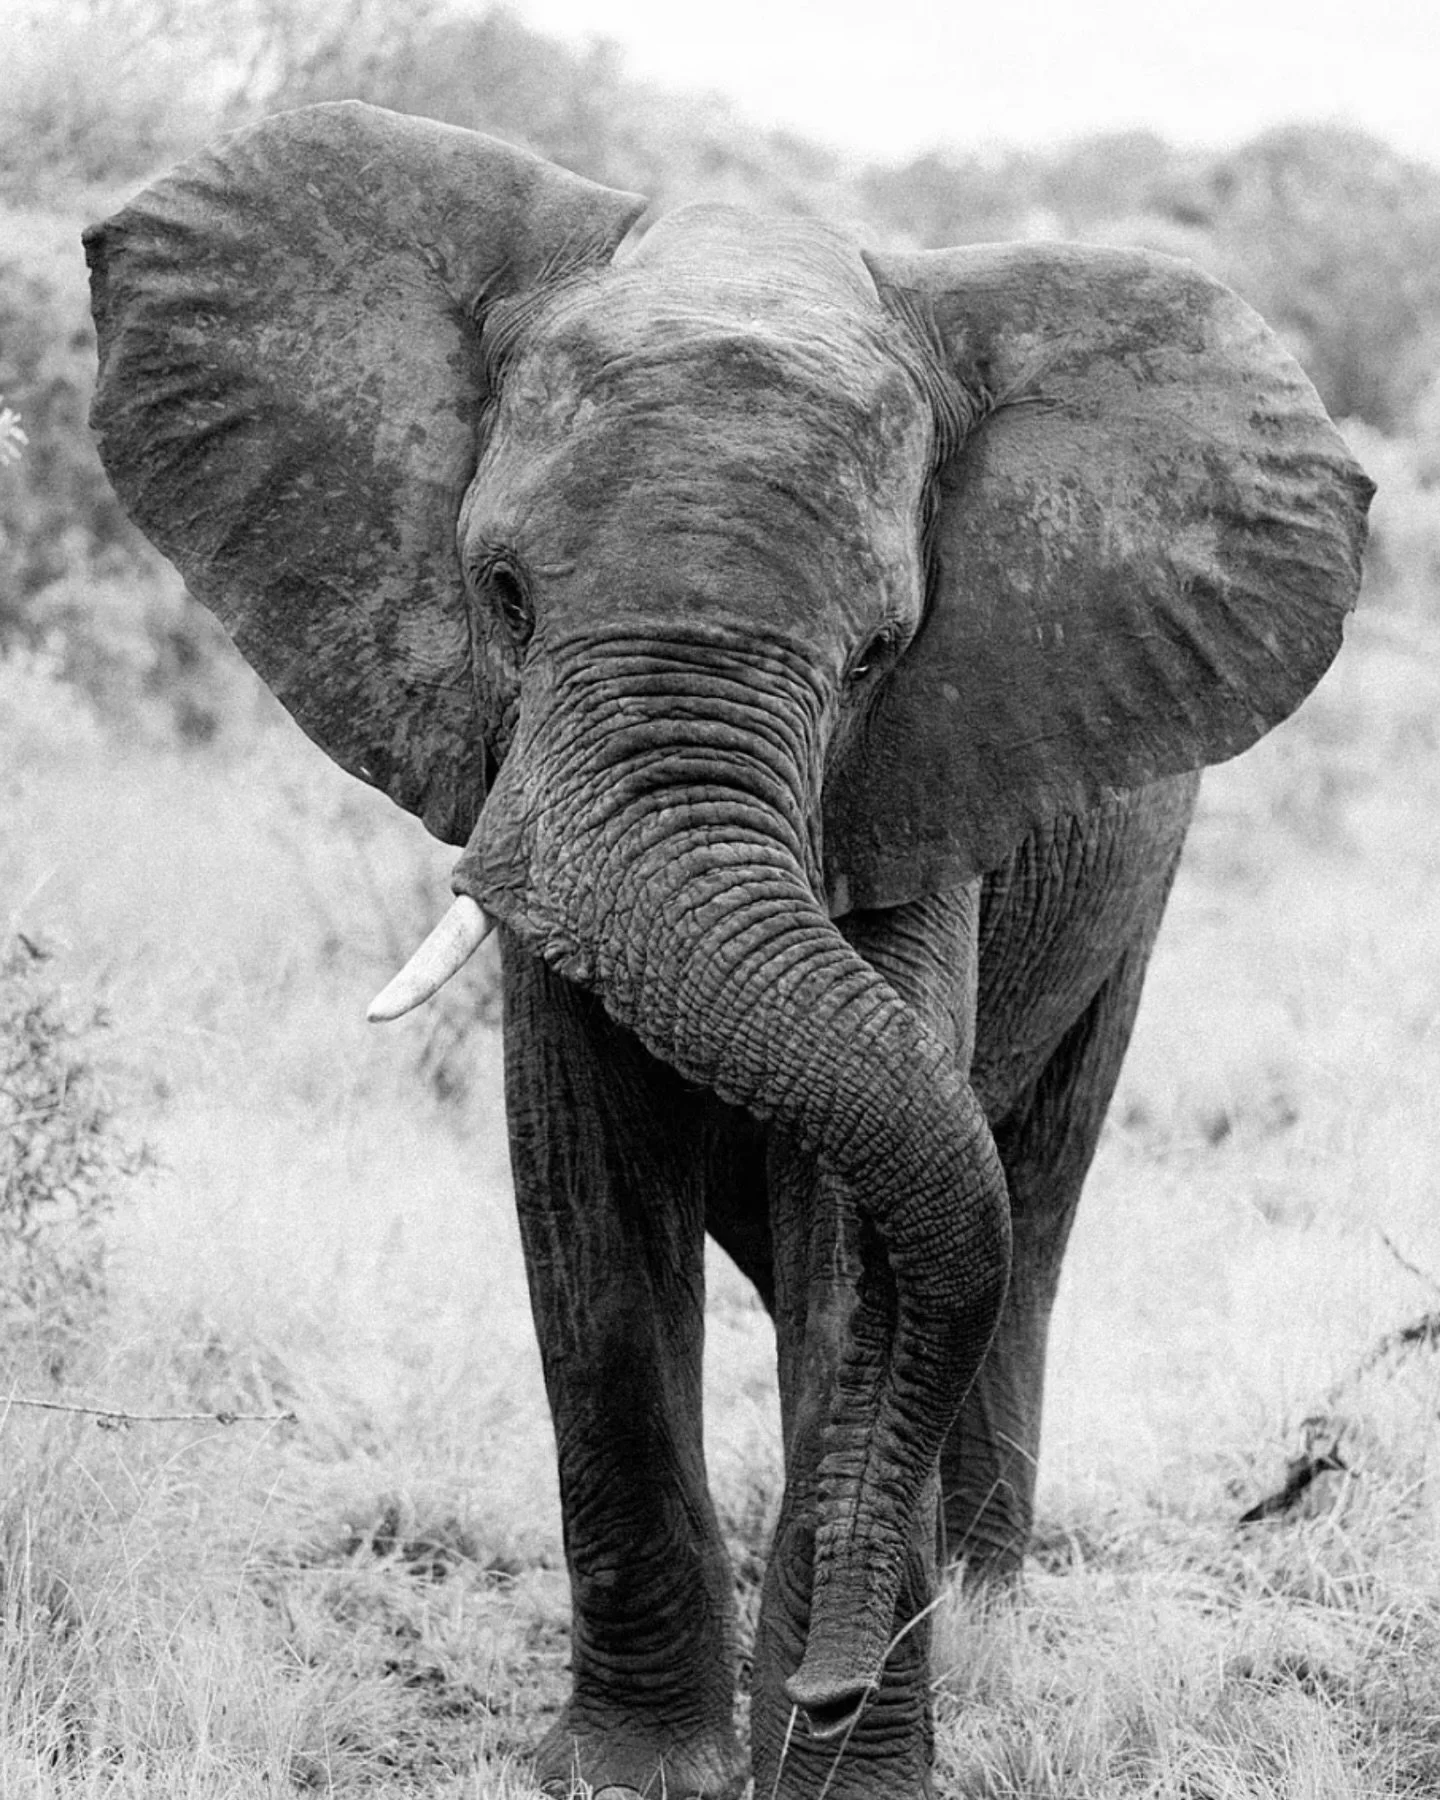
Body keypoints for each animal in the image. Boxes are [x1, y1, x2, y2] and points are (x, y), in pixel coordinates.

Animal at [84, 102, 1371, 1800]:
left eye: (878, 652)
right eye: (501, 593)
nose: (830, 1686)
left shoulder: (923, 776)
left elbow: (861, 1243)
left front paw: (840, 1773)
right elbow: (587, 1204)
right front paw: (638, 1772)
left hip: (1137, 876)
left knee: (1028, 1202)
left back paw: (980, 1616)